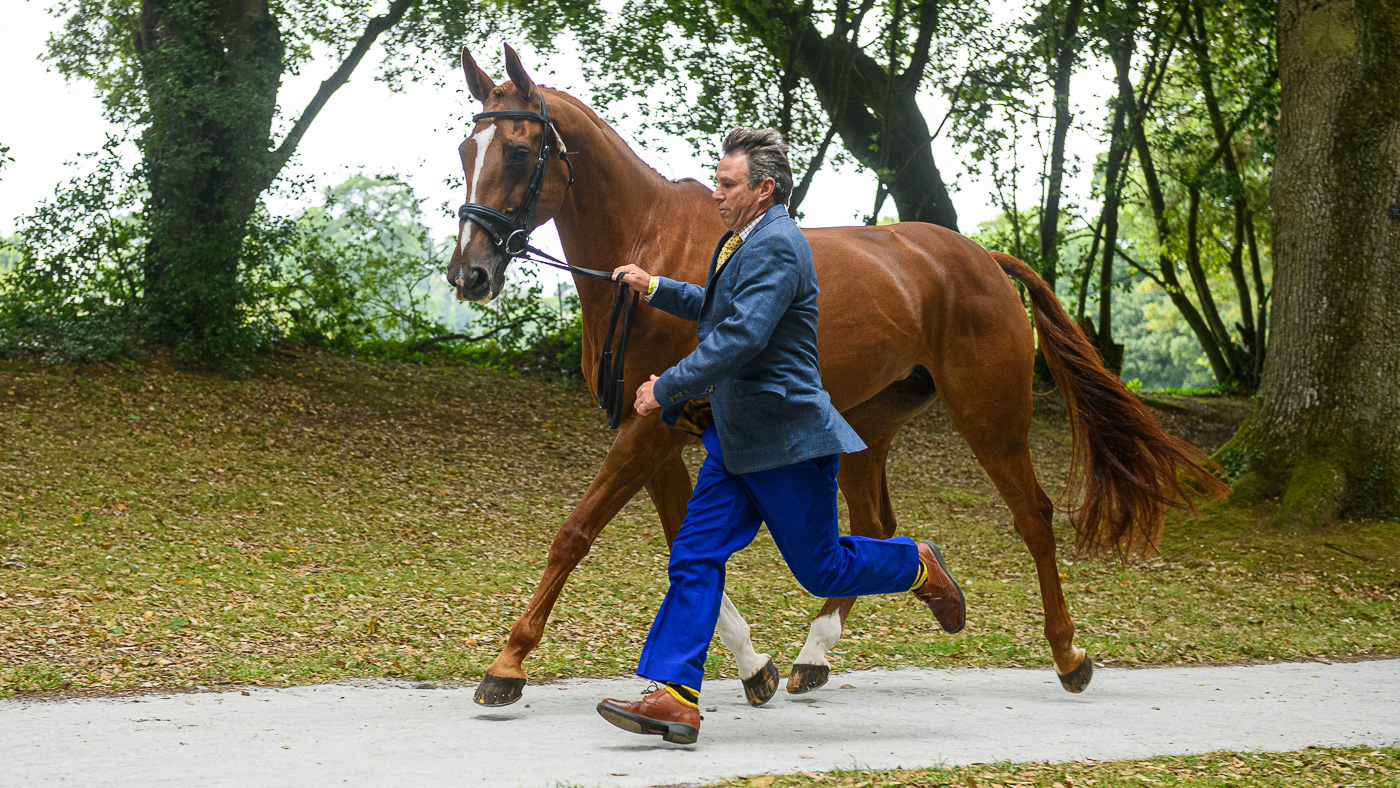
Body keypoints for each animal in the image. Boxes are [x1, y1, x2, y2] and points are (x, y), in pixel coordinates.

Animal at [447, 44, 1227, 708]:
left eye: (518, 150)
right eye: (465, 149)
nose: (469, 273)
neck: (647, 249)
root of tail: (982, 258)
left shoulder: (649, 428)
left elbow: (575, 533)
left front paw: (507, 666)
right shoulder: (653, 432)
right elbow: (682, 547)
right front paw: (753, 666)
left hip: (991, 417)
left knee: (1031, 516)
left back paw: (1068, 655)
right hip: (871, 426)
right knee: (873, 528)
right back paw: (820, 650)